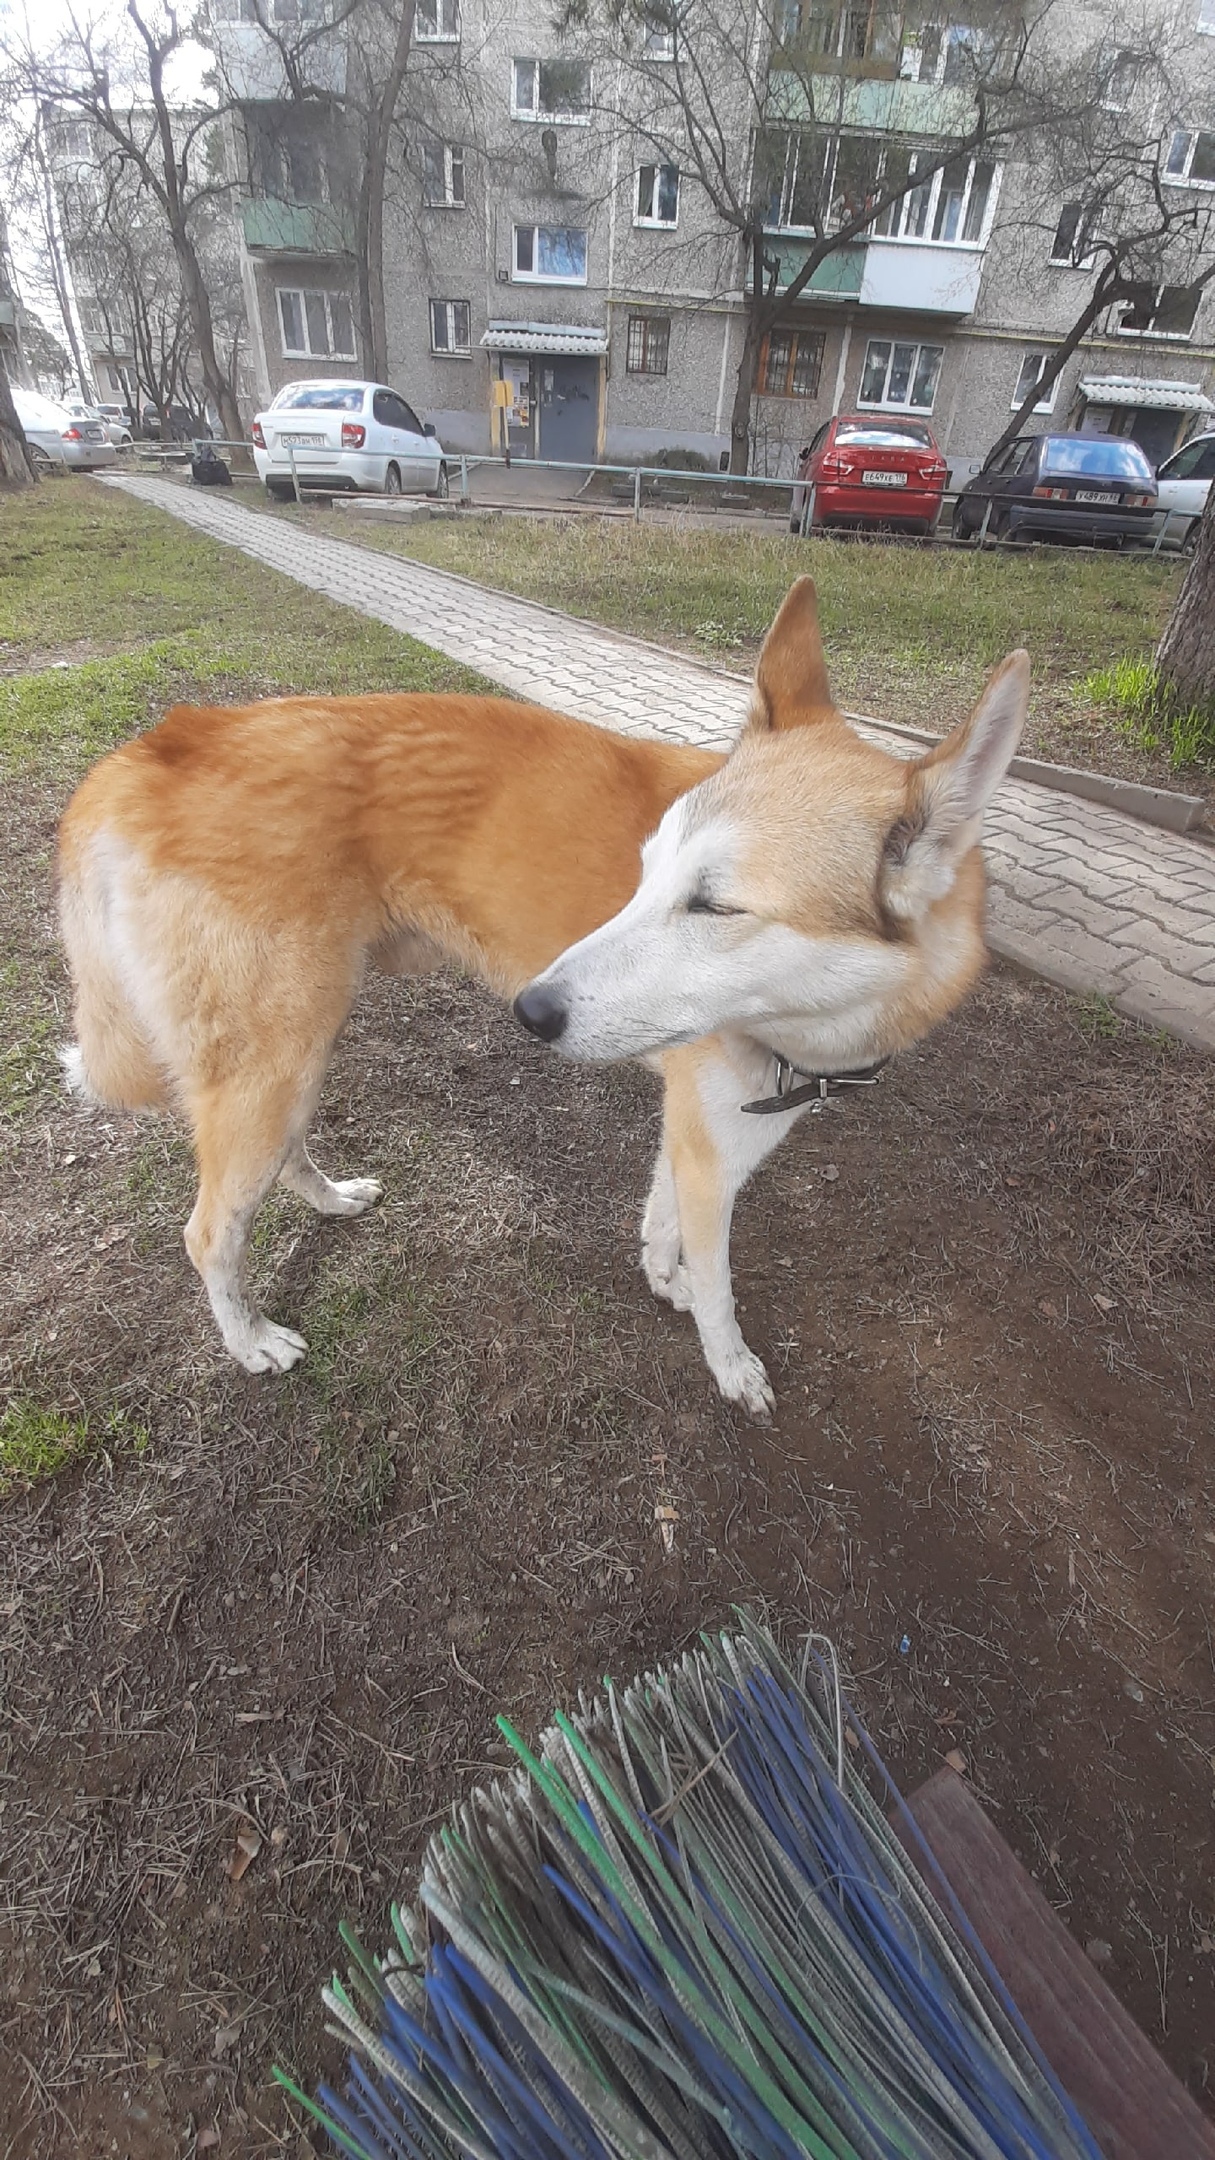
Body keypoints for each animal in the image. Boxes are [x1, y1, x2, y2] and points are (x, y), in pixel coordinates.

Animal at [56, 578, 1020, 1416]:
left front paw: (660, 1277)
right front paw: (729, 1364)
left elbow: (660, 1220)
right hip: (274, 1058)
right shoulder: (718, 1150)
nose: (530, 1012)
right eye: (645, 871)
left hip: (294, 1051)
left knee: (279, 1157)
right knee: (209, 1232)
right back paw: (251, 1341)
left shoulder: (693, 1130)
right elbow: (717, 1284)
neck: (815, 1021)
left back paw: (329, 1200)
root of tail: (153, 750)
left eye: (713, 906)